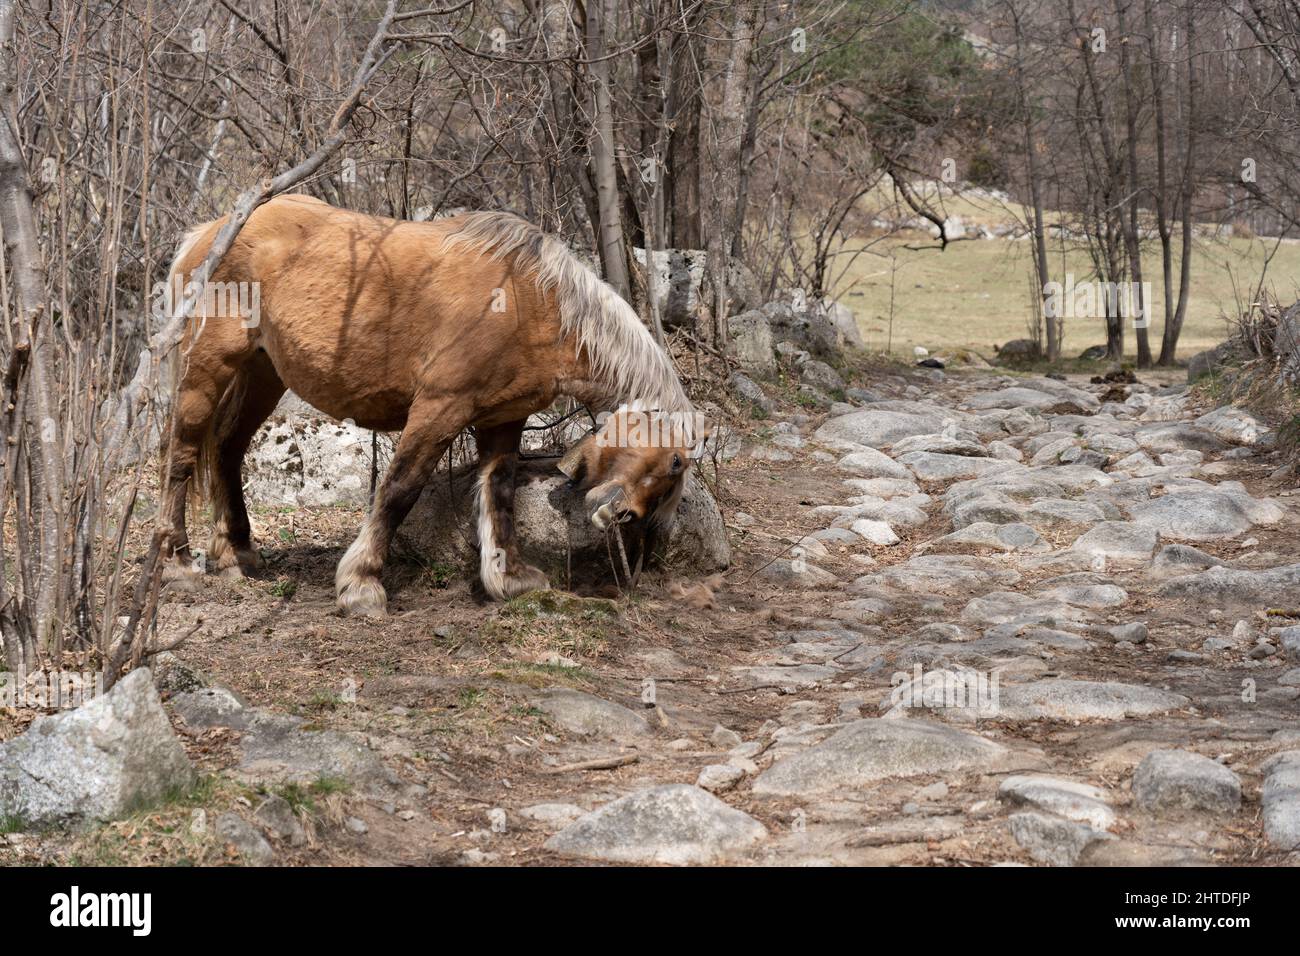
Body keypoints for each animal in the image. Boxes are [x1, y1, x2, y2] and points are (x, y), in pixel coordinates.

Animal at [159, 194, 701, 616]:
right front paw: (361, 585)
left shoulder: (503, 420)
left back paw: (235, 554)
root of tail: (207, 234)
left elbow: (499, 492)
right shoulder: (440, 409)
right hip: (207, 368)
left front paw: (509, 578)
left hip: (262, 375)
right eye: (674, 461)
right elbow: (400, 490)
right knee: (182, 453)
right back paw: (176, 562)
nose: (625, 517)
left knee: (226, 450)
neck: (530, 301)